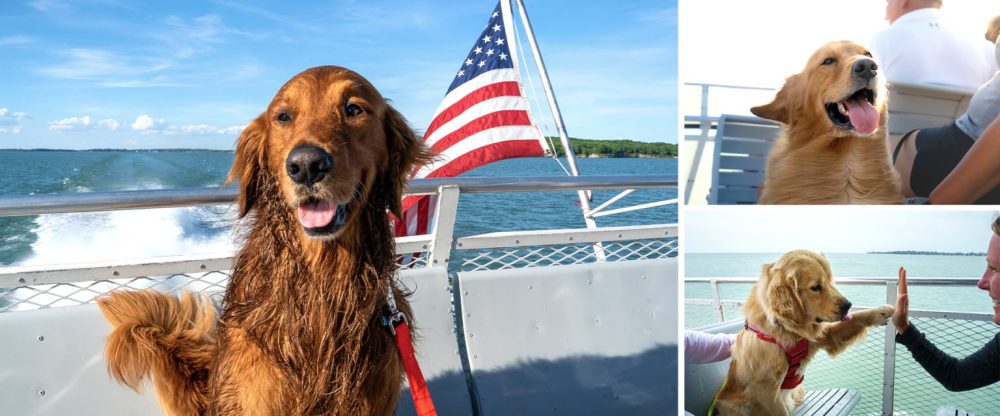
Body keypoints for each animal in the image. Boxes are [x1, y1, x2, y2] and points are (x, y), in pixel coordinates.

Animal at [716, 250, 896, 416]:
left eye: (830, 280)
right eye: (816, 287)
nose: (848, 305)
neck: (787, 329)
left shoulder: (824, 337)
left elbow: (856, 317)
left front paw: (880, 311)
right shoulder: (765, 392)